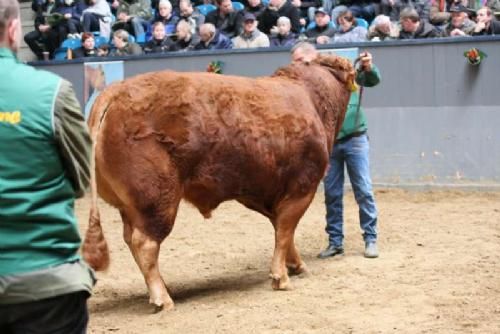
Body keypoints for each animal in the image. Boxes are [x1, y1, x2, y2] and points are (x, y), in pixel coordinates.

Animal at [83, 54, 356, 310]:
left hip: (131, 206)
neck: (310, 98)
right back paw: (163, 298)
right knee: (145, 243)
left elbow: (282, 231)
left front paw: (296, 265)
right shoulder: (303, 186)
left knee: (131, 239)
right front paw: (281, 277)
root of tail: (116, 91)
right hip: (157, 199)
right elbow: (286, 229)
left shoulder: (269, 194)